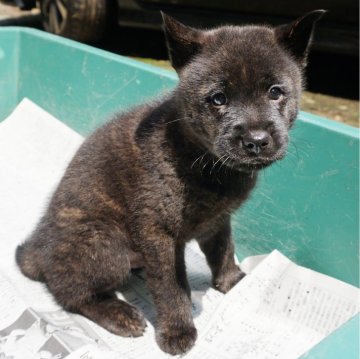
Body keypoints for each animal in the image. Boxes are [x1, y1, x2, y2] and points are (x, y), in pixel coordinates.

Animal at [15, 9, 324, 356]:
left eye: (275, 92)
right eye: (218, 99)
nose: (256, 141)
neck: (200, 157)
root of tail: (37, 251)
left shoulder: (217, 221)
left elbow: (224, 251)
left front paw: (232, 282)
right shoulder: (158, 233)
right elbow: (171, 287)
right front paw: (177, 331)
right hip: (106, 248)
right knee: (70, 292)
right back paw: (119, 314)